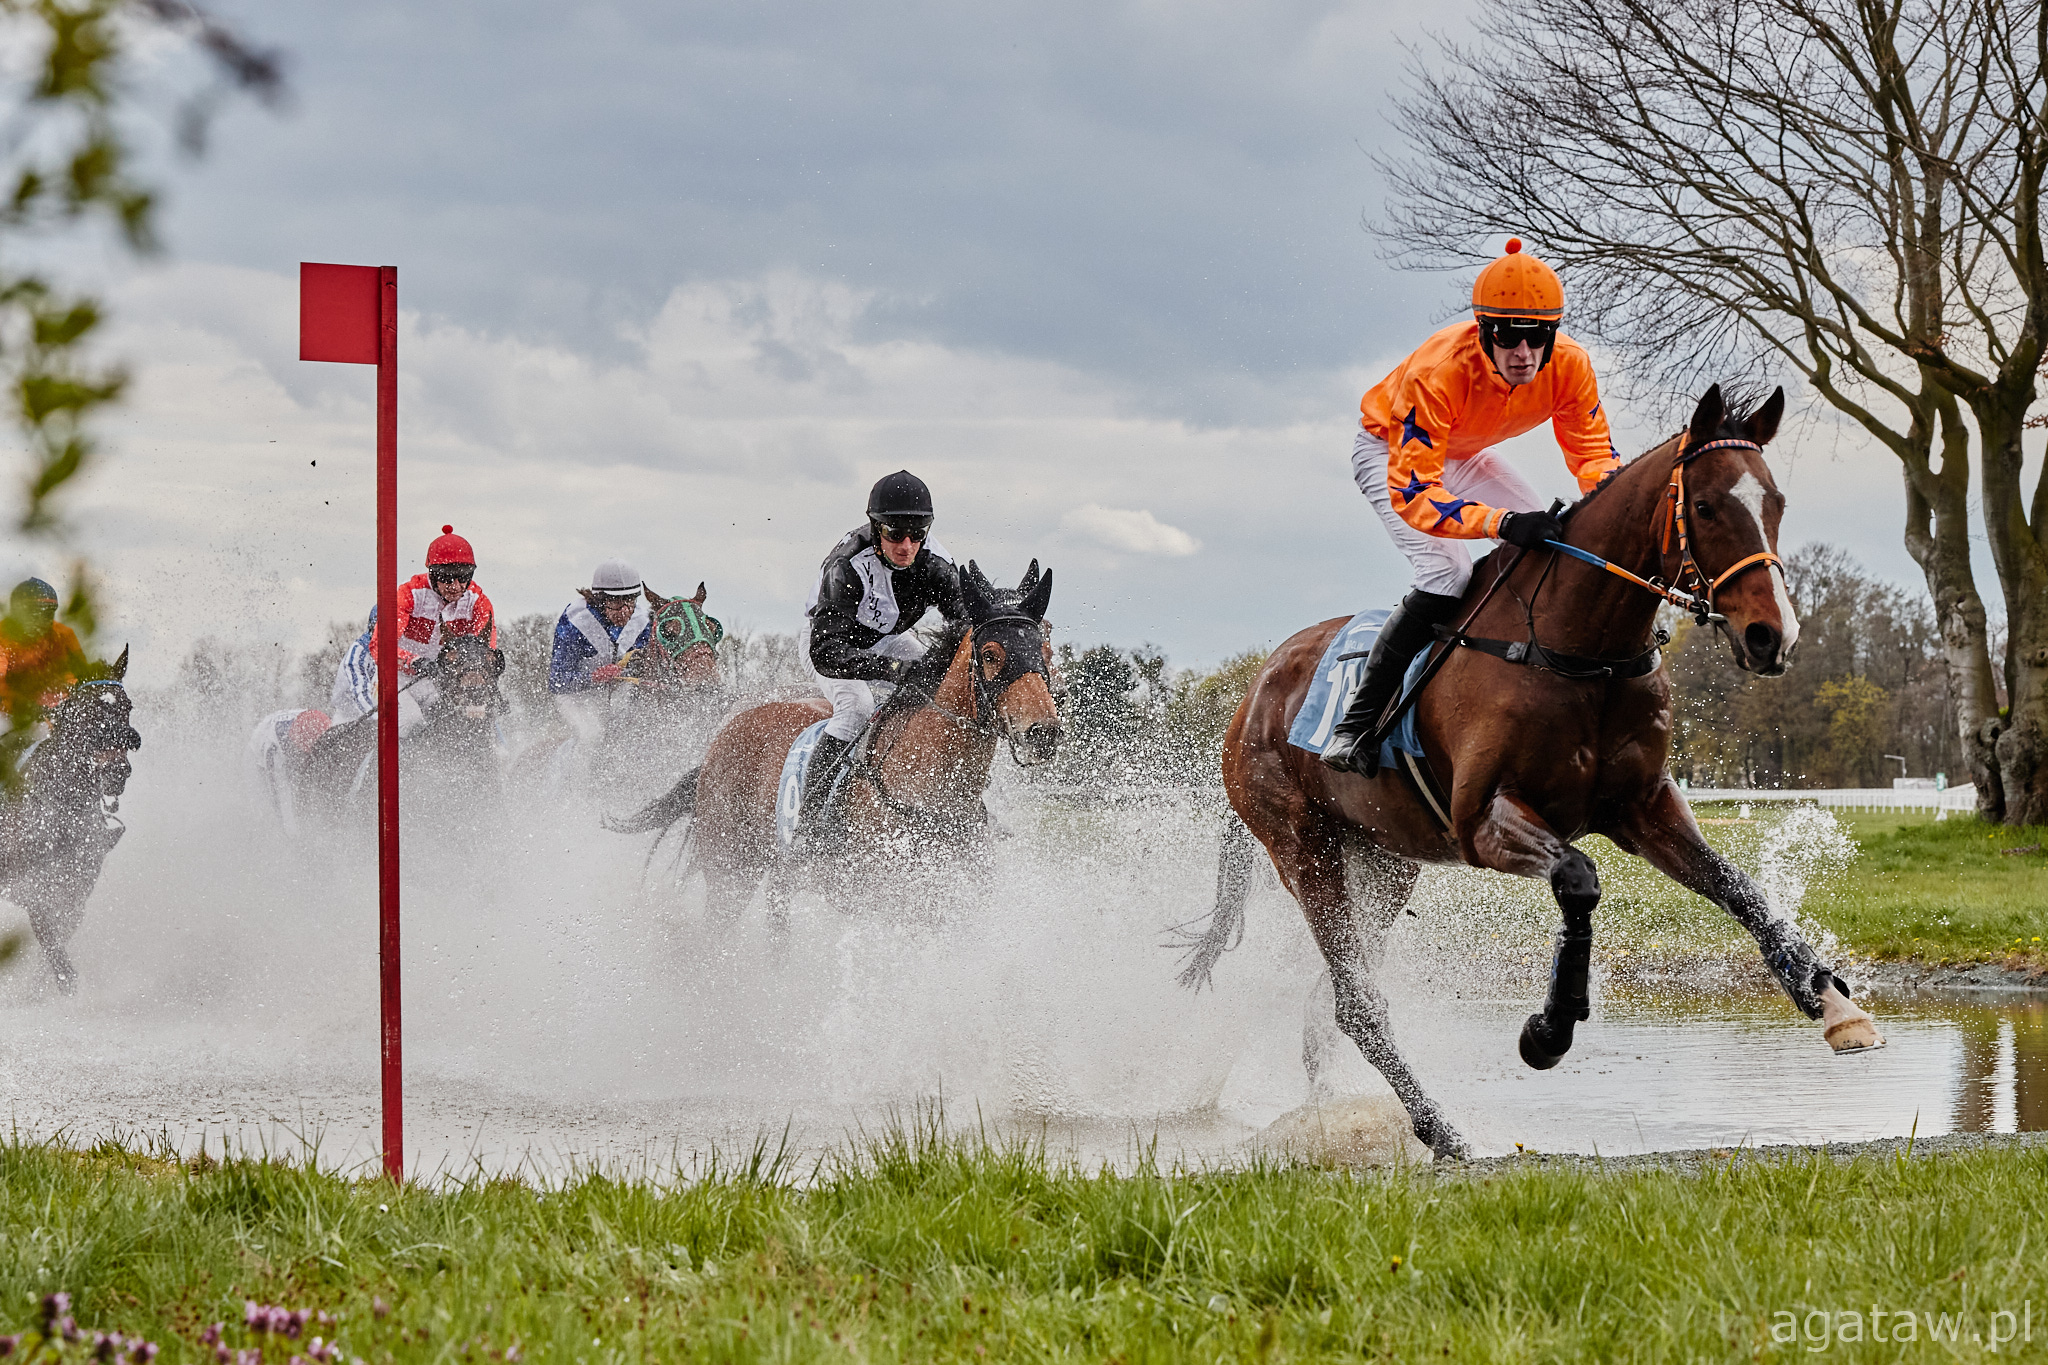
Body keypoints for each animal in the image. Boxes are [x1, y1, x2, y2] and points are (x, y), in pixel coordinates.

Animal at [0, 648, 142, 991]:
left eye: (127, 706)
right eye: (86, 713)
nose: (117, 771)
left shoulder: (77, 888)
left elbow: (61, 932)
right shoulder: (34, 888)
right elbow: (50, 939)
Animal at [609, 560, 1060, 922]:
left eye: (1047, 650)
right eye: (991, 653)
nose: (1043, 732)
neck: (928, 790)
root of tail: (724, 734)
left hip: (777, 874)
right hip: (730, 872)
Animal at [1180, 386, 1882, 1158]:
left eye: (1776, 500)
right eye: (1704, 507)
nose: (1771, 636)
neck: (1578, 650)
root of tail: (1252, 694)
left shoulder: (1644, 805)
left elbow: (1737, 886)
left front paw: (1828, 997)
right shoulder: (1484, 821)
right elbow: (1578, 878)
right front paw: (1548, 1030)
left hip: (1383, 862)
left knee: (1331, 1000)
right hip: (1303, 850)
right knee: (1357, 1001)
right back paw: (1441, 1131)